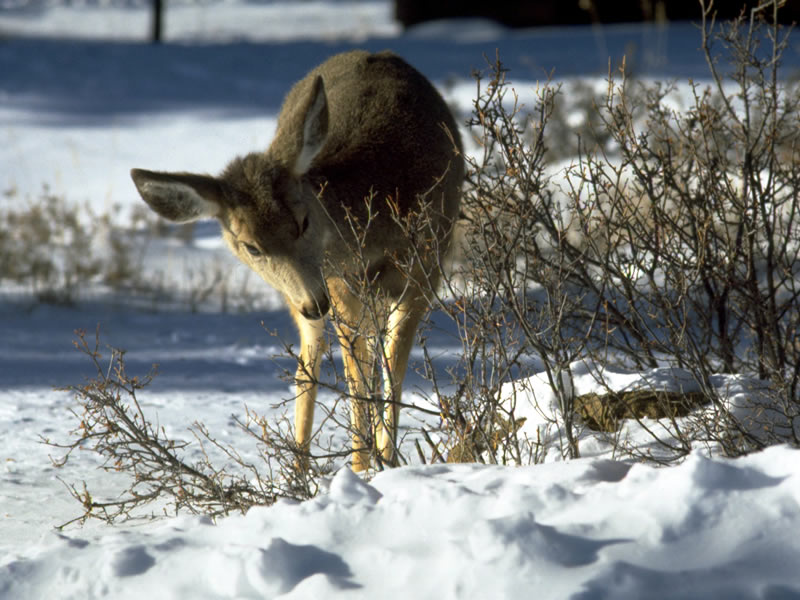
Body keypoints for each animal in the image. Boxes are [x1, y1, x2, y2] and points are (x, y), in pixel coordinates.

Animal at [130, 50, 464, 472]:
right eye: (251, 247)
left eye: (303, 221)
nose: (314, 302)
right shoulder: (338, 285)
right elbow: (357, 374)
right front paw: (362, 468)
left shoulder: (424, 270)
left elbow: (392, 372)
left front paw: (383, 463)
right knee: (309, 361)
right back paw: (300, 472)